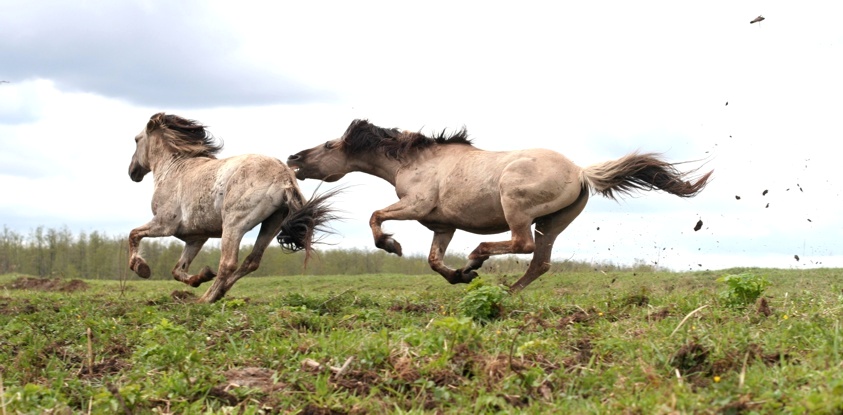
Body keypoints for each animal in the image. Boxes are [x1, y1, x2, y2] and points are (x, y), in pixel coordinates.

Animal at [129, 113, 332, 302]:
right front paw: (201, 276)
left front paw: (141, 268)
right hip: (272, 223)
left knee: (228, 263)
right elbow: (178, 270)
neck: (173, 169)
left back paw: (205, 300)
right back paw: (219, 292)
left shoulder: (164, 224)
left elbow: (133, 234)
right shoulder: (196, 238)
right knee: (251, 261)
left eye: (136, 140)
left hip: (233, 225)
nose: (132, 172)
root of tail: (285, 178)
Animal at [290, 118, 712, 290]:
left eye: (329, 145)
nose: (294, 159)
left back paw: (478, 258)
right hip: (552, 223)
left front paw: (391, 245)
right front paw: (459, 277)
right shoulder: (442, 225)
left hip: (517, 207)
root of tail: (580, 172)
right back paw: (504, 289)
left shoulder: (415, 206)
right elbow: (434, 261)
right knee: (540, 262)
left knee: (521, 245)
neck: (415, 162)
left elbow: (376, 217)